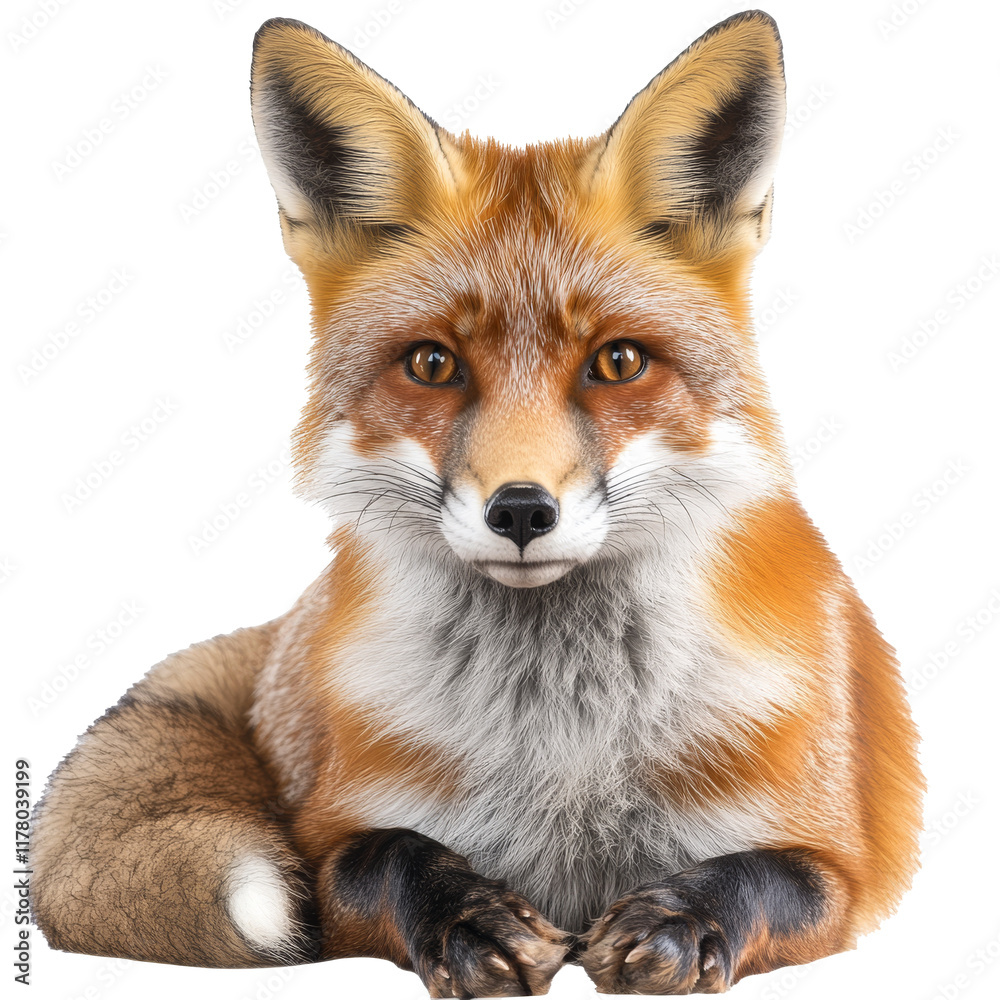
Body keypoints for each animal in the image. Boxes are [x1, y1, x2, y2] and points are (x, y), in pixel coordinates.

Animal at [32, 10, 923, 998]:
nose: (522, 511)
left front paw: (682, 920)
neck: (565, 744)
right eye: (432, 363)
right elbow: (389, 855)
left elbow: (758, 876)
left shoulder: (839, 865)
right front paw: (469, 917)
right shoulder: (327, 847)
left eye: (617, 362)